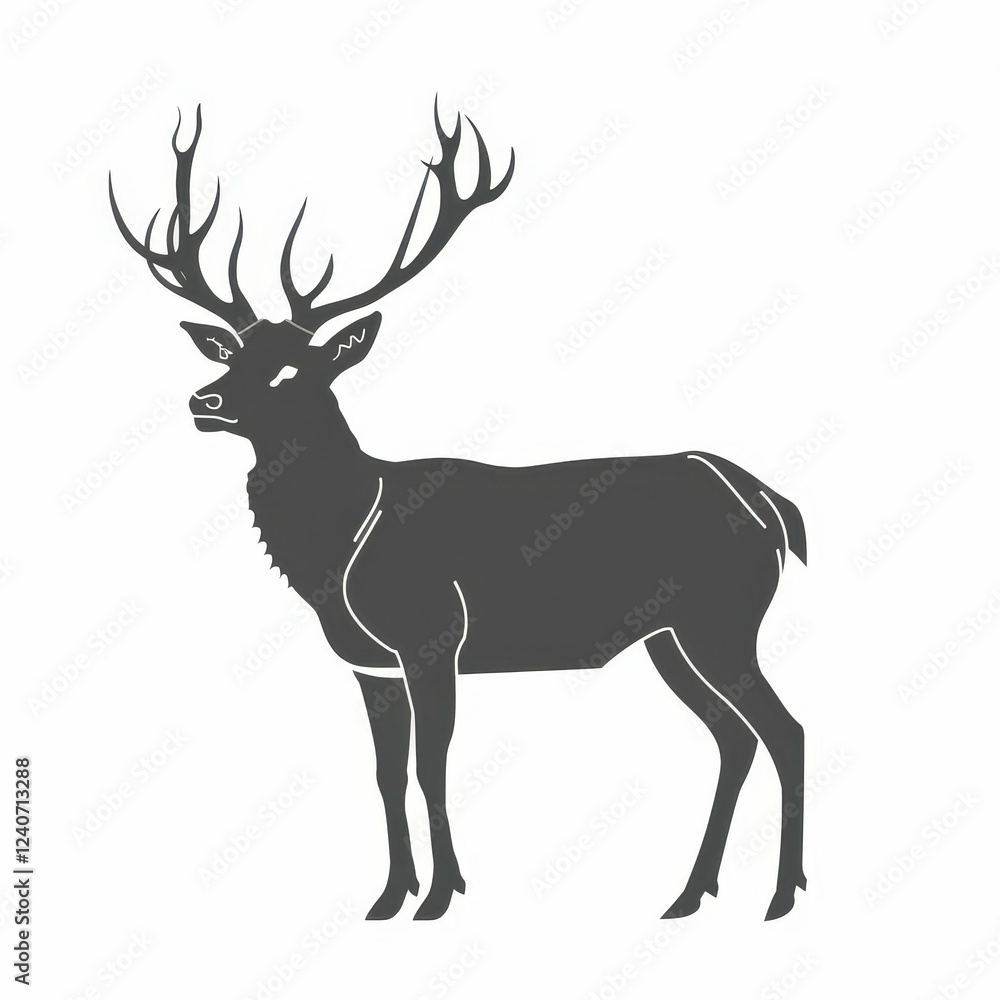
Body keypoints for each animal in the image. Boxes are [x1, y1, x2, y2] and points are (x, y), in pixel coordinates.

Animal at [109, 104, 808, 922]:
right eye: (231, 354)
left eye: (290, 369)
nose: (204, 401)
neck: (340, 554)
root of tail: (768, 501)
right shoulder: (369, 664)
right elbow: (385, 775)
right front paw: (388, 896)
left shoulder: (432, 636)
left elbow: (431, 767)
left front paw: (441, 895)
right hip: (670, 637)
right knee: (736, 739)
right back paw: (690, 893)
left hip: (721, 618)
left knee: (785, 731)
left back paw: (780, 896)